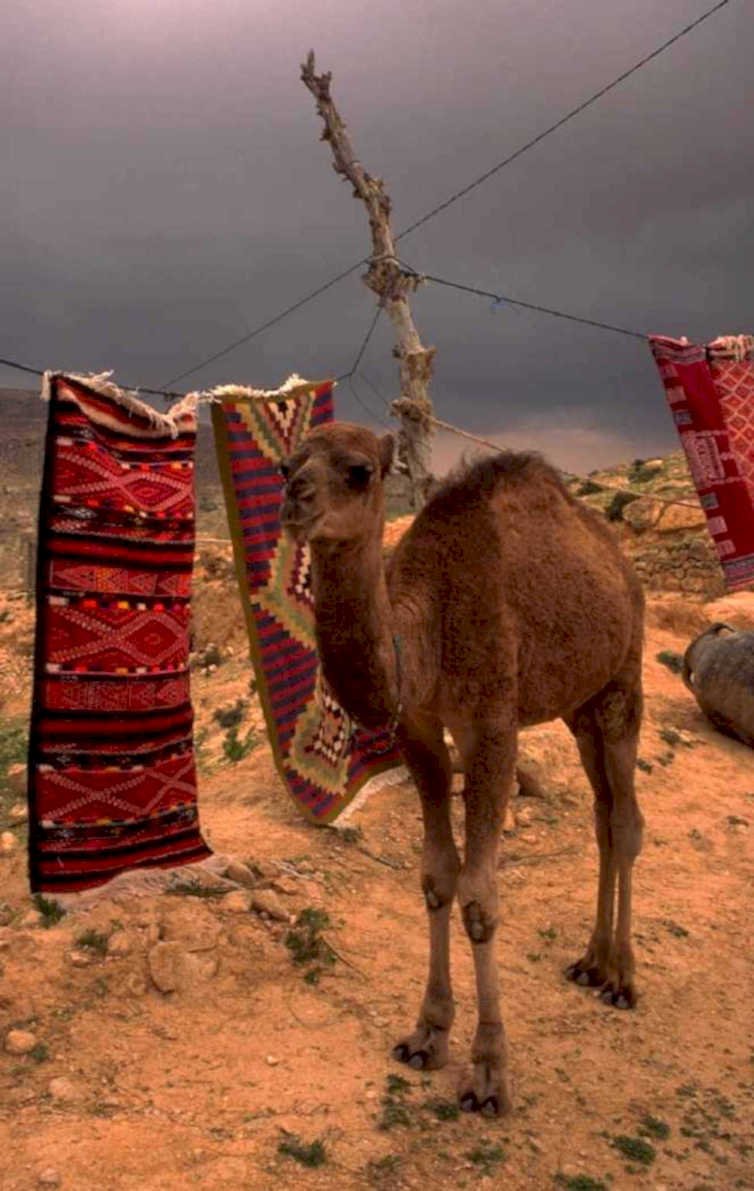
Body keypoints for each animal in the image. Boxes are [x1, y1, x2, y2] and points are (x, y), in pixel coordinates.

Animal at [281, 422, 645, 1116]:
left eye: (360, 471)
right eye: (289, 462)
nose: (294, 499)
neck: (427, 633)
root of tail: (618, 560)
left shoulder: (493, 728)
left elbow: (479, 896)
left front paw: (489, 1073)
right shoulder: (420, 726)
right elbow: (436, 877)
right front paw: (427, 1035)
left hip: (622, 679)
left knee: (628, 821)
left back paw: (622, 977)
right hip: (578, 705)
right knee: (603, 814)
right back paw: (591, 962)